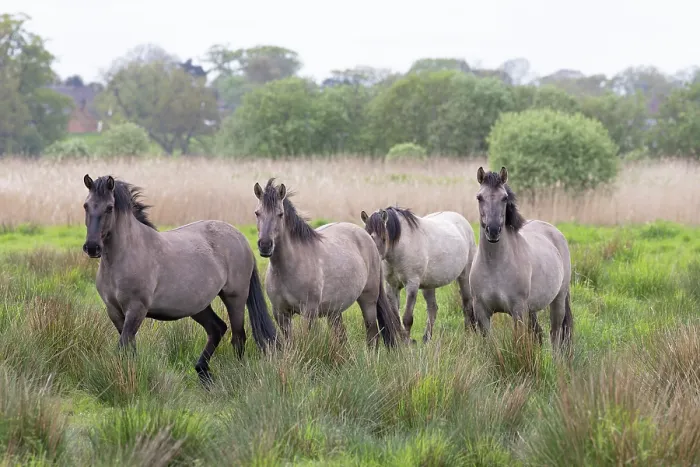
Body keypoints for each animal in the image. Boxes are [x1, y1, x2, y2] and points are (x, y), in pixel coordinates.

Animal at [81, 174, 278, 385]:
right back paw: (202, 372)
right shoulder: (114, 311)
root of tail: (241, 238)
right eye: (86, 205)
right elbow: (129, 348)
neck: (125, 254)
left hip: (235, 298)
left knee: (238, 336)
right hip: (198, 306)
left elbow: (123, 346)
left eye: (109, 207)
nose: (92, 247)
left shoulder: (136, 309)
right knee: (217, 328)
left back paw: (236, 375)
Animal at [252, 178, 403, 348]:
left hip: (368, 300)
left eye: (280, 214)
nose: (265, 245)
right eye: (257, 213)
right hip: (335, 310)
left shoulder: (309, 313)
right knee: (342, 335)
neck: (289, 267)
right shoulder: (280, 314)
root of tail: (367, 238)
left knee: (372, 333)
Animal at [360, 207, 477, 343]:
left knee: (467, 304)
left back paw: (468, 335)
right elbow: (396, 318)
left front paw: (406, 343)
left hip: (464, 276)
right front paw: (402, 342)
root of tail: (463, 221)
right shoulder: (392, 286)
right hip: (429, 284)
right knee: (432, 309)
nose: (373, 258)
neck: (400, 248)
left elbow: (407, 318)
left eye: (384, 238)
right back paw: (427, 339)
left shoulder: (412, 285)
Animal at [469, 166, 573, 352]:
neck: (494, 266)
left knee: (555, 334)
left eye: (504, 198)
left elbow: (519, 342)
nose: (493, 230)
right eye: (479, 197)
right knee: (539, 333)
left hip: (558, 300)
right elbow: (491, 346)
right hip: (531, 310)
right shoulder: (481, 312)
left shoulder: (518, 310)